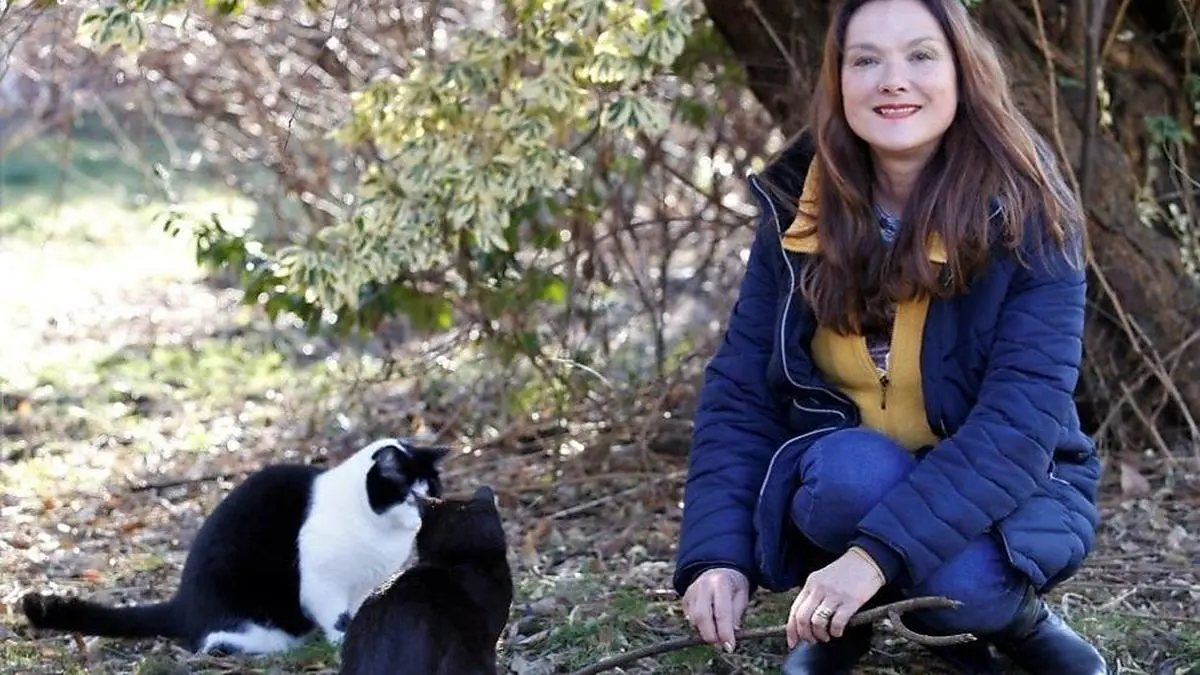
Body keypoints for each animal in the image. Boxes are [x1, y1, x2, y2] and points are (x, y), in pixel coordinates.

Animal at [21, 437, 449, 656]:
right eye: (409, 497)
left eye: (433, 494)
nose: (422, 518)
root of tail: (182, 602)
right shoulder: (322, 584)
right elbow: (338, 617)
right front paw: (344, 643)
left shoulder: (364, 587)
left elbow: (362, 611)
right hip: (253, 618)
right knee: (215, 640)